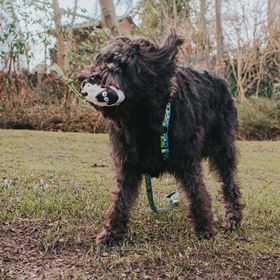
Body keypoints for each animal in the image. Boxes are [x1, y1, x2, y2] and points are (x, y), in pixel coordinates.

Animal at [80, 31, 243, 245]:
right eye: (101, 60)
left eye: (125, 66)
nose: (94, 76)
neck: (142, 122)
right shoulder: (127, 163)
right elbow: (120, 198)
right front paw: (112, 233)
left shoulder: (187, 160)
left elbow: (197, 192)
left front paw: (204, 228)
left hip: (223, 148)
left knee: (229, 182)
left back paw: (233, 218)